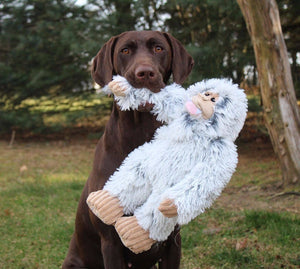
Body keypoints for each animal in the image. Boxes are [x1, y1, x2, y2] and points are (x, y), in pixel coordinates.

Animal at [62, 30, 195, 268]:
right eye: (125, 51)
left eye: (159, 48)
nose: (145, 73)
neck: (139, 133)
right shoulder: (111, 242)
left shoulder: (173, 240)